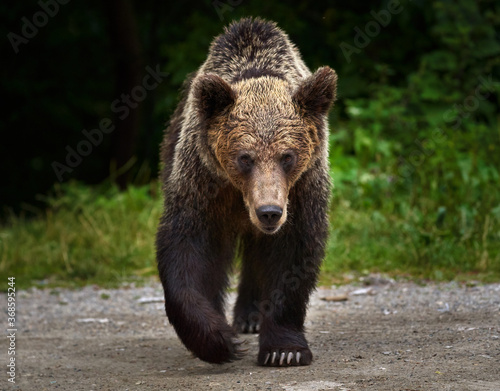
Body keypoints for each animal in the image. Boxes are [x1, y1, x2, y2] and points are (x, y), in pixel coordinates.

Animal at [156, 16, 336, 366]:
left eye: (287, 156)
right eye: (244, 157)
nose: (269, 212)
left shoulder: (302, 189)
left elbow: (294, 254)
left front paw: (284, 350)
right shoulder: (202, 182)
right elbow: (187, 250)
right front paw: (218, 339)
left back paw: (251, 316)